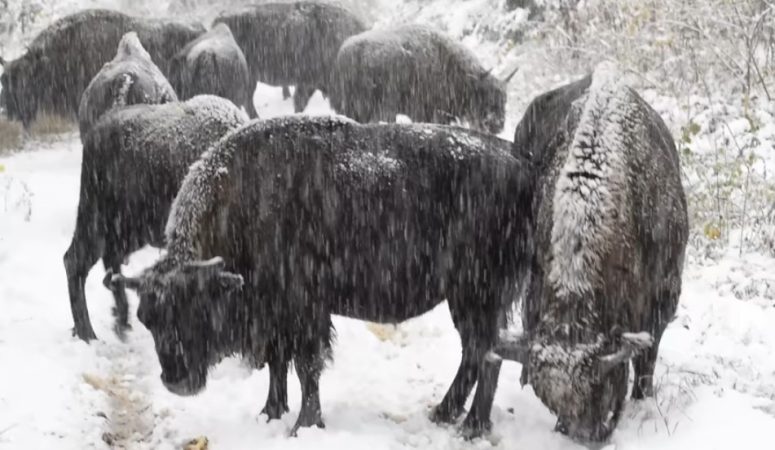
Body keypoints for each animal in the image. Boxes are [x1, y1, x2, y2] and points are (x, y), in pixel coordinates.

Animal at [64, 95, 248, 341]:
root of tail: (95, 134)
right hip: (99, 222)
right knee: (75, 262)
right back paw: (89, 334)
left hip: (128, 233)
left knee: (108, 263)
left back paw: (119, 322)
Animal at [114, 115, 534, 437]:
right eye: (146, 318)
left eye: (196, 310)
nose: (176, 381)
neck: (242, 202)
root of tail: (521, 162)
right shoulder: (276, 315)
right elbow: (278, 364)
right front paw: (270, 412)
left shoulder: (304, 310)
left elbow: (306, 366)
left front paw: (304, 424)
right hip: (467, 299)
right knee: (477, 353)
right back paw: (444, 414)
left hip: (476, 294)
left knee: (487, 354)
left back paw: (471, 426)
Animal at [495, 63, 689, 442]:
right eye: (548, 398)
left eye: (604, 383)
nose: (587, 435)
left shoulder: (664, 294)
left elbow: (648, 356)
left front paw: (643, 400)